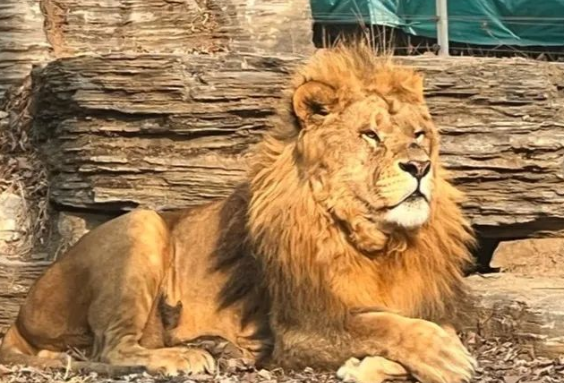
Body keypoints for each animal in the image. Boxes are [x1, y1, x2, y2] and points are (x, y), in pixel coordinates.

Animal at [0, 45, 476, 383]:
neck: (383, 244)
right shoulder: (302, 326)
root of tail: (20, 316)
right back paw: (185, 358)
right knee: (111, 350)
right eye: (370, 135)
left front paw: (369, 365)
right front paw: (444, 357)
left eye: (419, 134)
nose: (420, 166)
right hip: (142, 222)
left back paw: (221, 350)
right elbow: (383, 326)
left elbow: (419, 327)